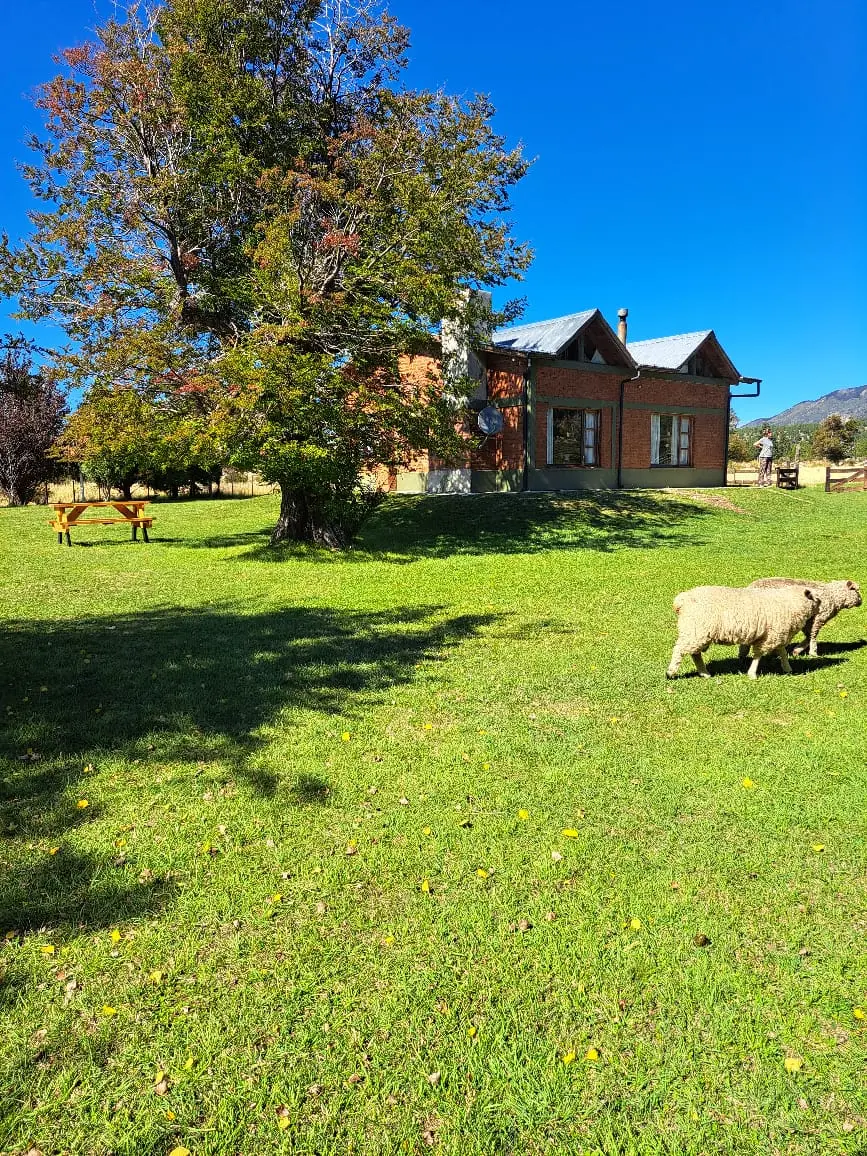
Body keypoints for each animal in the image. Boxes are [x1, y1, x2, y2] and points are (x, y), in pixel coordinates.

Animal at [666, 584, 820, 680]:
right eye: (816, 598)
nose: (821, 607)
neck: (790, 603)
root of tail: (682, 600)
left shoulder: (776, 634)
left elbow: (782, 652)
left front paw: (788, 668)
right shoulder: (770, 636)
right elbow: (758, 655)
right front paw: (752, 674)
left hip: (698, 632)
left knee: (695, 653)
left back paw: (704, 673)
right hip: (696, 629)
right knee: (680, 650)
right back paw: (671, 672)